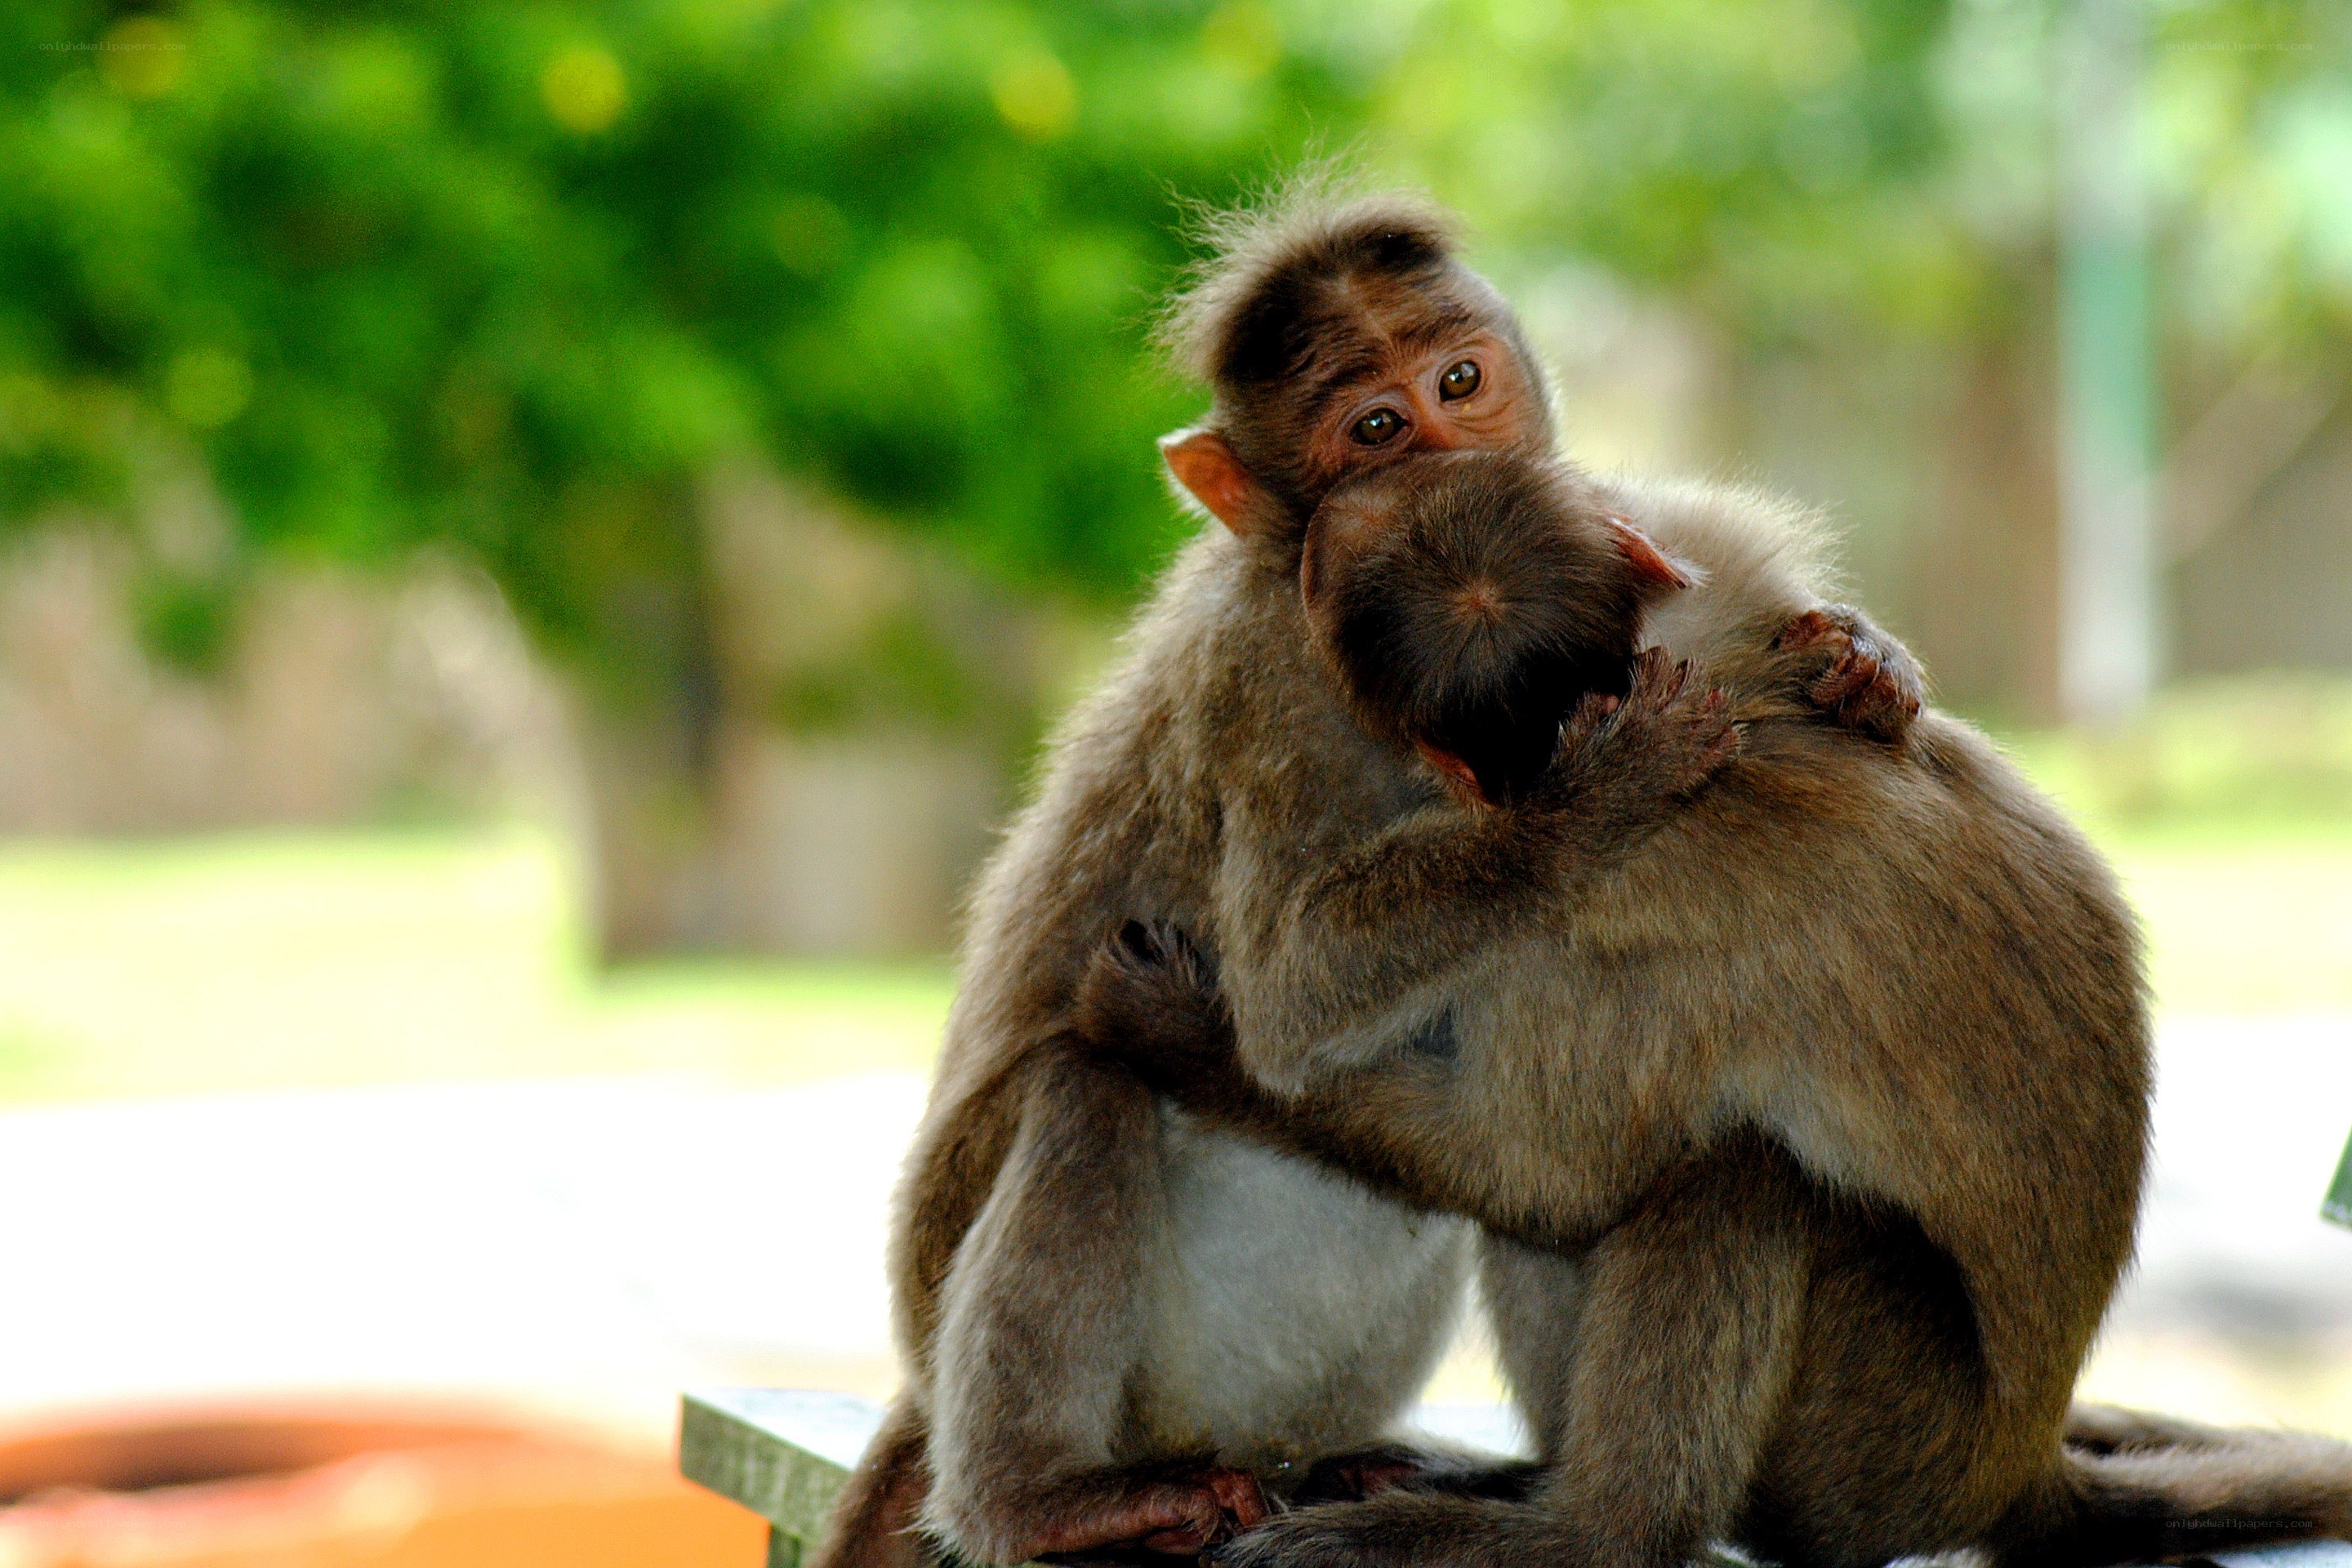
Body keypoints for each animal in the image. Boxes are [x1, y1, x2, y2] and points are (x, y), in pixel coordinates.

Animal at [808, 185, 1932, 1568]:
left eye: (1461, 381)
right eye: (1376, 430)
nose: (1462, 468)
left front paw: (1865, 660)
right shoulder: (1271, 674)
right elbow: (1292, 980)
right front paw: (1595, 800)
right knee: (1084, 1084)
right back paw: (1045, 1497)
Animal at [1057, 450, 2352, 1568]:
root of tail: (2015, 1465)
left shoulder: (1580, 952)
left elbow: (1535, 1170)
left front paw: (1173, 1029)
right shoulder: (1710, 608)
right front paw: (1857, 668)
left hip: (1884, 1444)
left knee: (1738, 1175)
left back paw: (1587, 1535)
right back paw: (1530, 1483)